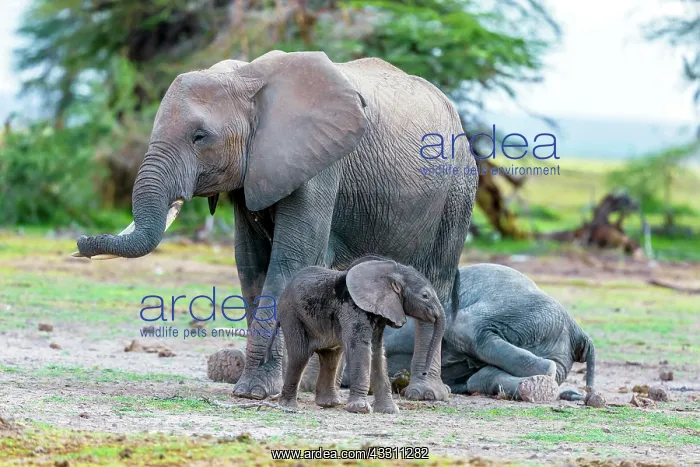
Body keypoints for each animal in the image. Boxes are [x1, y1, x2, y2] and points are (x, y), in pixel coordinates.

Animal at [265, 258, 446, 414]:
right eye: (425, 296)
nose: (424, 373)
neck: (390, 270)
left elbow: (377, 352)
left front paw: (389, 410)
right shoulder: (353, 308)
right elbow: (360, 348)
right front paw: (361, 409)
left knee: (332, 356)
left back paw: (329, 403)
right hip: (291, 314)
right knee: (300, 355)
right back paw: (288, 405)